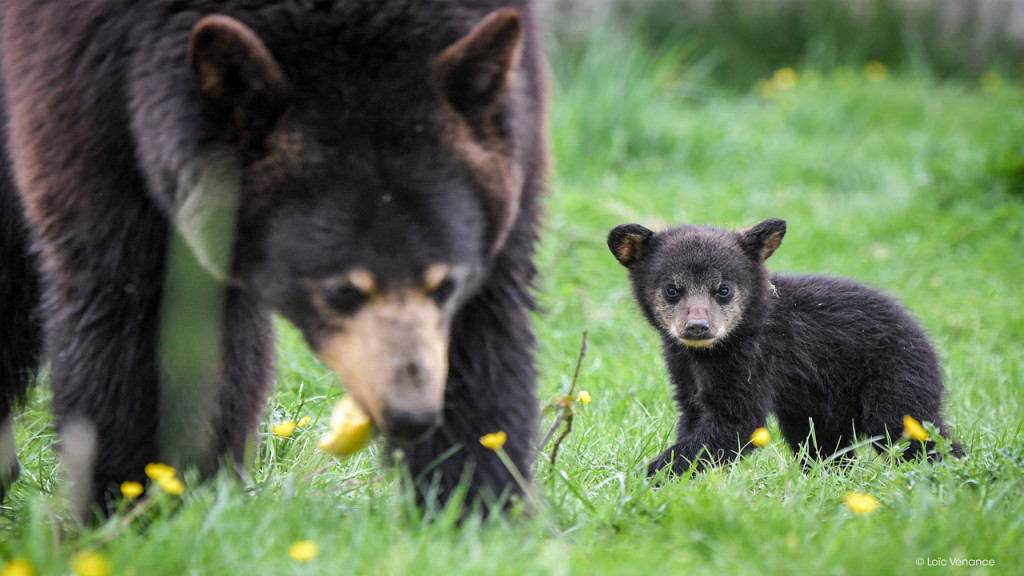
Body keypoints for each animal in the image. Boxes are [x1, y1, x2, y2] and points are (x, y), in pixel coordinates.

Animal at [0, 1, 548, 516]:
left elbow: (488, 321)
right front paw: (132, 500)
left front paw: (474, 500)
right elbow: (136, 303)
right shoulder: (92, 87)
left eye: (445, 284)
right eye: (341, 291)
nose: (410, 415)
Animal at [606, 217, 958, 473]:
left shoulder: (753, 360)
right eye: (671, 290)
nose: (697, 327)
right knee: (825, 445)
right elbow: (693, 415)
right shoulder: (684, 370)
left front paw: (644, 477)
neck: (708, 354)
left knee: (910, 430)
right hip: (820, 406)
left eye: (723, 290)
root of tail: (925, 339)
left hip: (895, 377)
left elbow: (737, 423)